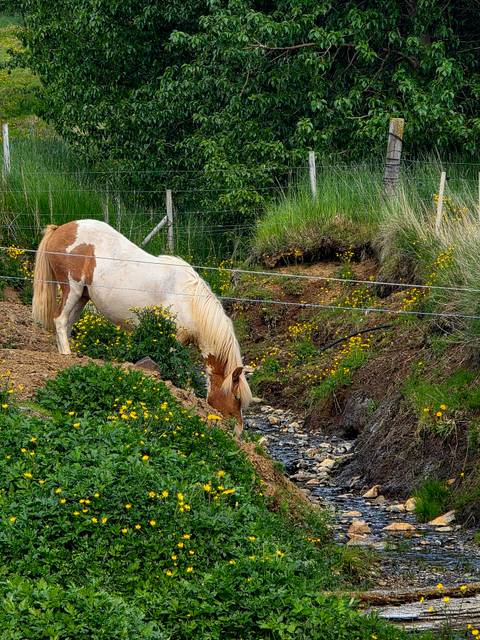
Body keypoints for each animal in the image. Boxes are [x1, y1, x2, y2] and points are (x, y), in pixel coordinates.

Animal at [31, 220, 251, 433]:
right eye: (237, 397)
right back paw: (66, 354)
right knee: (60, 320)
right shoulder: (173, 341)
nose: (238, 431)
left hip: (82, 297)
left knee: (67, 325)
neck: (189, 299)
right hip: (72, 289)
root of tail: (61, 229)